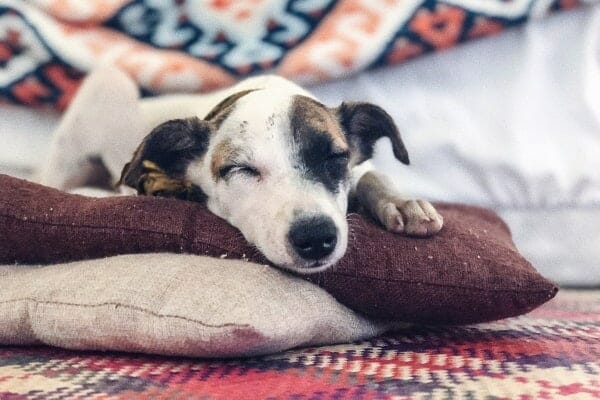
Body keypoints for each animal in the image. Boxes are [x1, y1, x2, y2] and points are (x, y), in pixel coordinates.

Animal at [37, 69, 440, 276]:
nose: (315, 238)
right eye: (241, 169)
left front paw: (403, 203)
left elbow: (372, 174)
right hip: (109, 83)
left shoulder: (359, 165)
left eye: (336, 157)